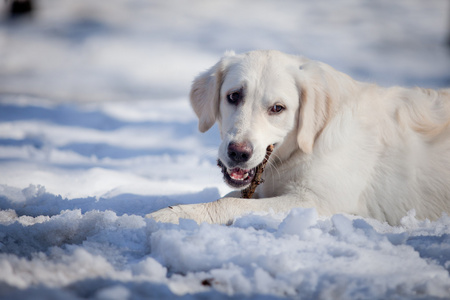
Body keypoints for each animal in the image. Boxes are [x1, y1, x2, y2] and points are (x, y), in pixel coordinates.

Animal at [148, 49, 450, 225]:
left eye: (277, 108)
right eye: (233, 96)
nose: (238, 152)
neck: (311, 141)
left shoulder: (319, 203)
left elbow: (229, 203)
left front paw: (173, 214)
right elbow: (232, 196)